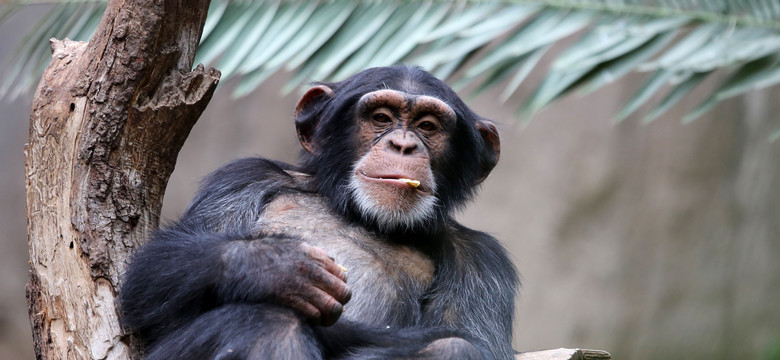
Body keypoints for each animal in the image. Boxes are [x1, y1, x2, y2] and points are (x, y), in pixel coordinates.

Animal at [120, 65, 516, 360]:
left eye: (428, 126)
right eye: (381, 118)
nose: (403, 145)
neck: (359, 213)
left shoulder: (481, 260)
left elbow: (476, 341)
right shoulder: (241, 180)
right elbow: (149, 277)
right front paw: (278, 267)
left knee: (454, 348)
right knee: (268, 323)